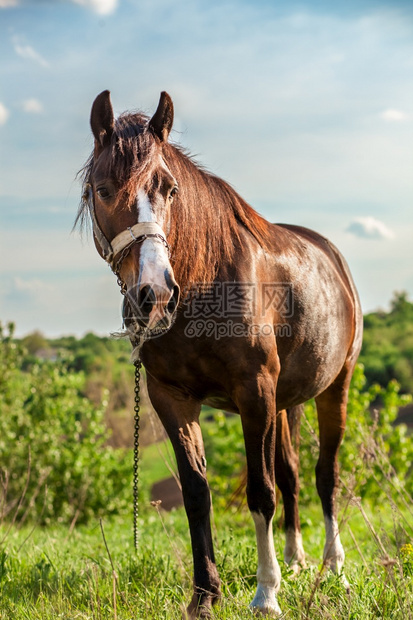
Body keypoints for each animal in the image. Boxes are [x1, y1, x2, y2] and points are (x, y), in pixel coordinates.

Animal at [77, 89, 360, 616]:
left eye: (169, 189)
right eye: (102, 189)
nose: (154, 295)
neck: (206, 284)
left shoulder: (254, 393)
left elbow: (261, 492)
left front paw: (266, 594)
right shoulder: (172, 398)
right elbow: (196, 493)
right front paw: (204, 596)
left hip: (336, 386)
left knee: (325, 475)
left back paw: (334, 567)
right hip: (284, 402)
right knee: (292, 473)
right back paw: (297, 561)